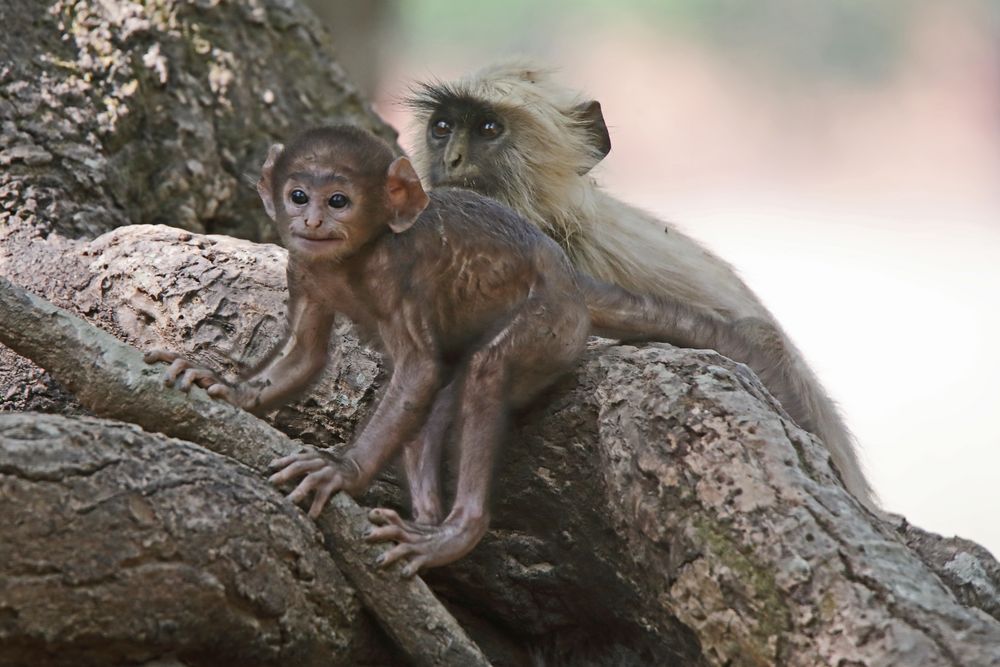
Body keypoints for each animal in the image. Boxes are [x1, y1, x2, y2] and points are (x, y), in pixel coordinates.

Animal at [146, 128, 756, 576]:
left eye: (338, 200)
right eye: (298, 195)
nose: (312, 220)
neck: (354, 259)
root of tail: (568, 274)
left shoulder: (400, 274)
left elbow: (416, 370)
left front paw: (341, 471)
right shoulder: (305, 268)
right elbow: (306, 357)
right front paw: (225, 387)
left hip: (555, 325)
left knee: (486, 371)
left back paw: (456, 533)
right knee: (440, 404)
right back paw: (426, 522)